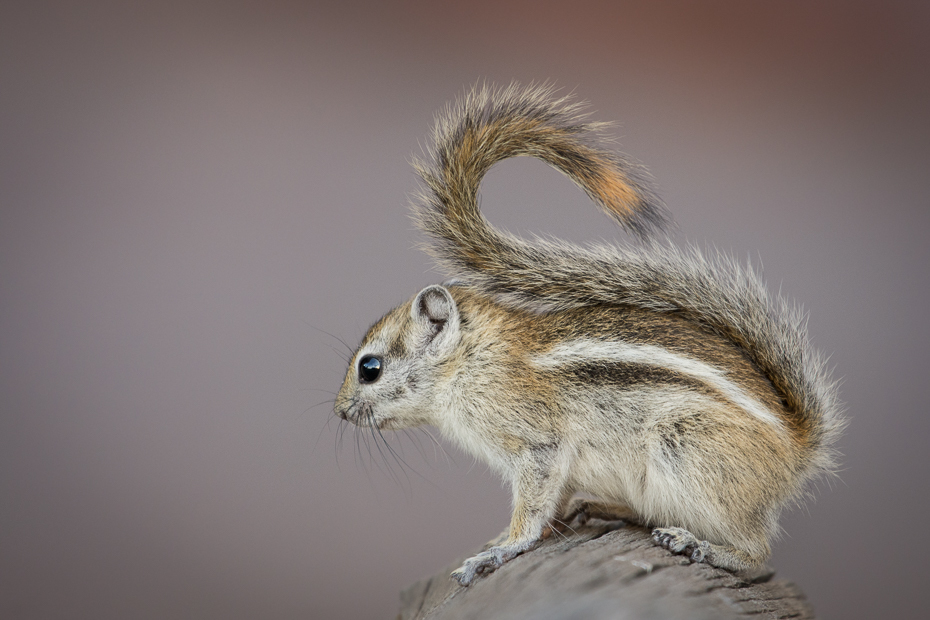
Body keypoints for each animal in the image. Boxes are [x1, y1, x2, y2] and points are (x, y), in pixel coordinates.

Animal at [332, 83, 840, 588]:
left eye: (370, 368)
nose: (341, 412)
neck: (475, 358)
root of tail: (796, 447)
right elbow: (548, 504)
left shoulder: (538, 444)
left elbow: (532, 508)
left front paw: (499, 549)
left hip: (690, 451)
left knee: (756, 552)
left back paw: (701, 546)